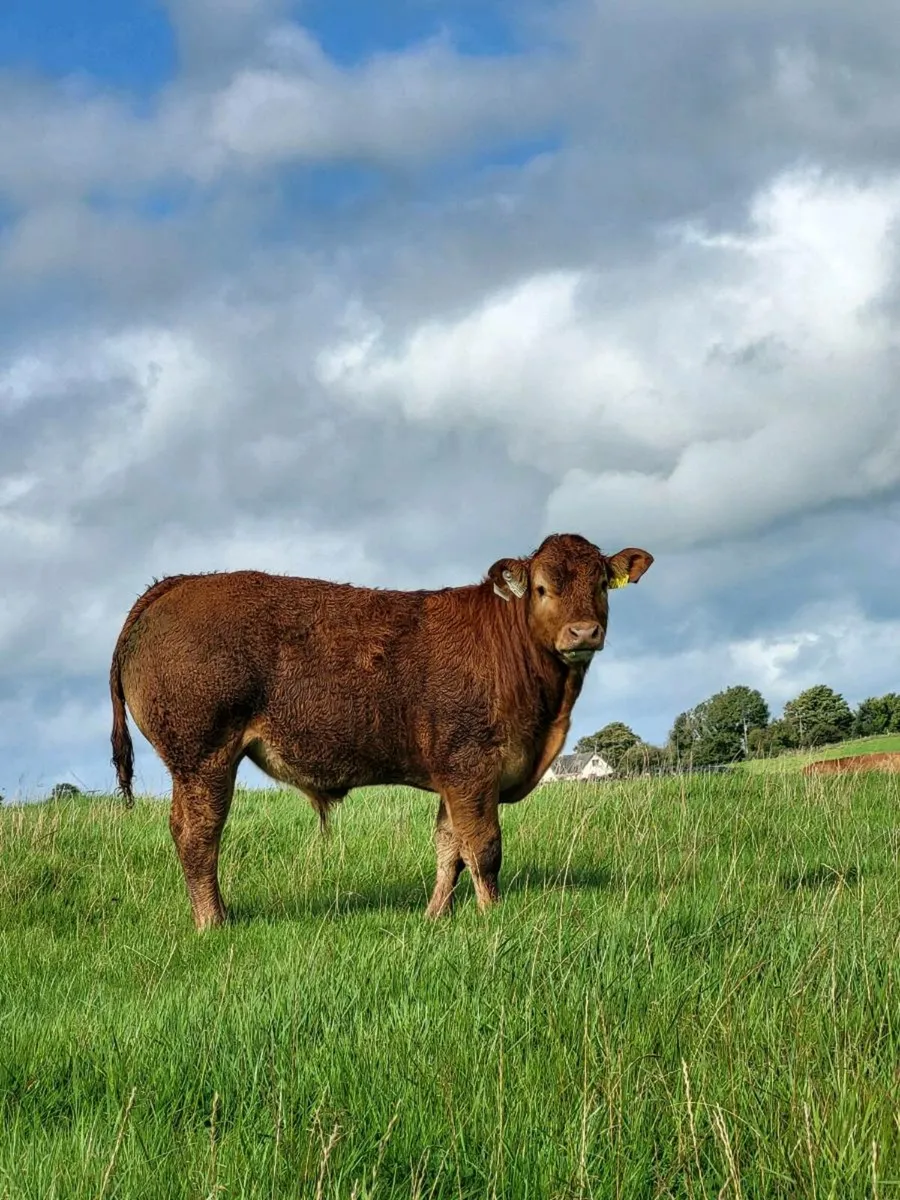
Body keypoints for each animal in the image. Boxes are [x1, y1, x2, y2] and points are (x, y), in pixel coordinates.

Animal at [109, 533, 653, 929]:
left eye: (601, 585)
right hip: (203, 758)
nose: (583, 632)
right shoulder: (472, 767)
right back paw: (214, 922)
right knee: (197, 836)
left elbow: (449, 849)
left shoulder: (455, 778)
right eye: (542, 588)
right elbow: (483, 849)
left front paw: (436, 916)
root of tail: (179, 583)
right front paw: (492, 917)